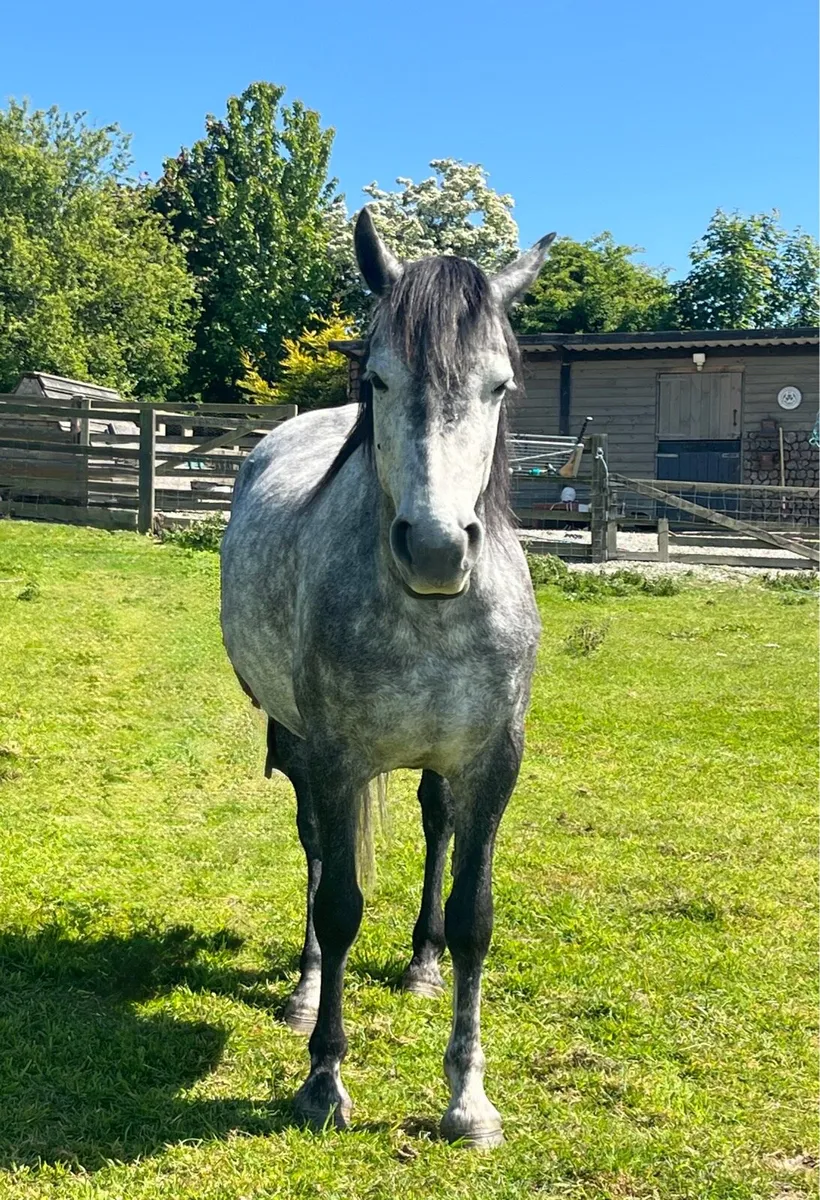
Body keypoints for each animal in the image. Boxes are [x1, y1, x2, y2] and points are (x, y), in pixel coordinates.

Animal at [220, 208, 555, 1148]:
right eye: (378, 377)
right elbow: (338, 903)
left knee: (435, 826)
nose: (437, 550)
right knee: (314, 852)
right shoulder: (336, 760)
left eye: (500, 387)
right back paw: (304, 993)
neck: (430, 617)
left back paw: (421, 964)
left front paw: (468, 1100)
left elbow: (478, 917)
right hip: (298, 747)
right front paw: (322, 1083)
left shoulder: (492, 765)